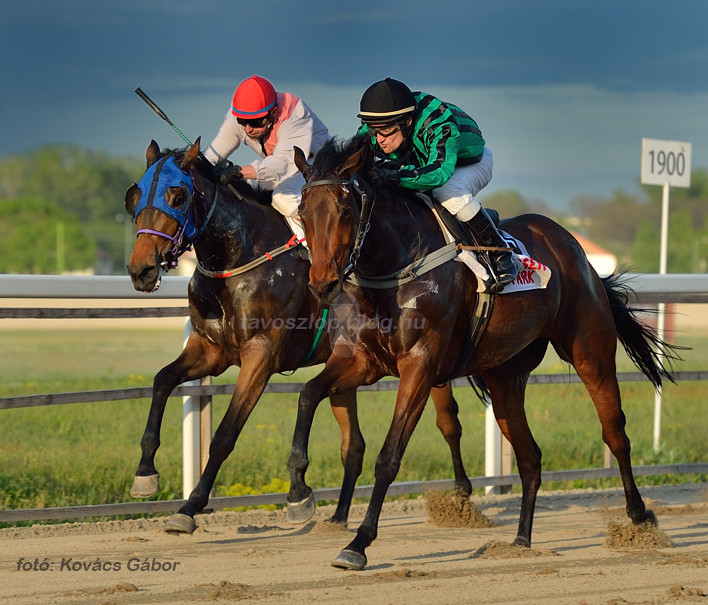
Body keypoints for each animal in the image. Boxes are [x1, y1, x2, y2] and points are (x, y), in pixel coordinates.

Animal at [126, 138, 476, 532]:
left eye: (177, 196)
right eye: (134, 195)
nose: (141, 270)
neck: (240, 257)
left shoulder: (260, 354)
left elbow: (226, 434)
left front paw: (192, 506)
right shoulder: (210, 349)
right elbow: (162, 380)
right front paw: (145, 473)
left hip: (430, 360)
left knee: (448, 422)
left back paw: (462, 494)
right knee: (355, 444)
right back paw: (340, 516)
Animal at [284, 134, 676, 568]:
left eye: (345, 210)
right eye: (302, 210)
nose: (322, 285)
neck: (397, 264)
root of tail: (575, 250)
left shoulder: (419, 366)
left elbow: (389, 456)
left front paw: (358, 543)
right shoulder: (362, 362)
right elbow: (307, 395)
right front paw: (299, 494)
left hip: (591, 354)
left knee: (614, 433)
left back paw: (640, 518)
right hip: (504, 376)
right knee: (530, 456)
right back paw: (520, 540)